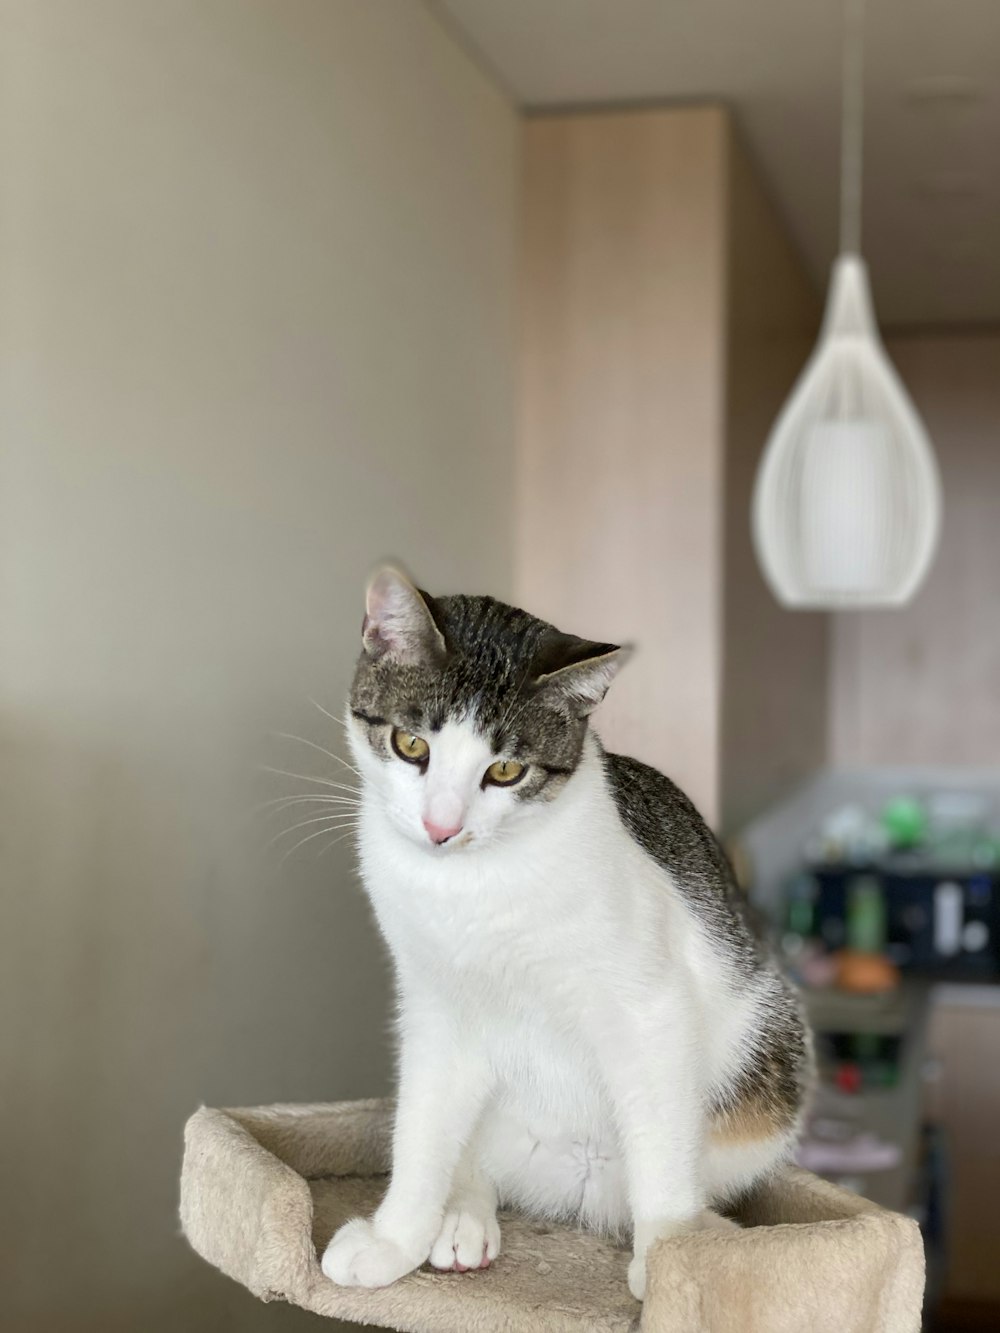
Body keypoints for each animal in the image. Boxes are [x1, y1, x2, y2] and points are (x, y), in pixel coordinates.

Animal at [321, 565, 816, 1301]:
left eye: (505, 770)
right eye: (412, 745)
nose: (441, 827)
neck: (474, 886)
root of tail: (577, 1188)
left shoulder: (652, 1005)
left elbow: (661, 1141)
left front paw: (670, 1261)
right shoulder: (435, 1002)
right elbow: (423, 1127)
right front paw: (395, 1237)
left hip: (772, 1056)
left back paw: (709, 1234)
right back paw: (463, 1211)